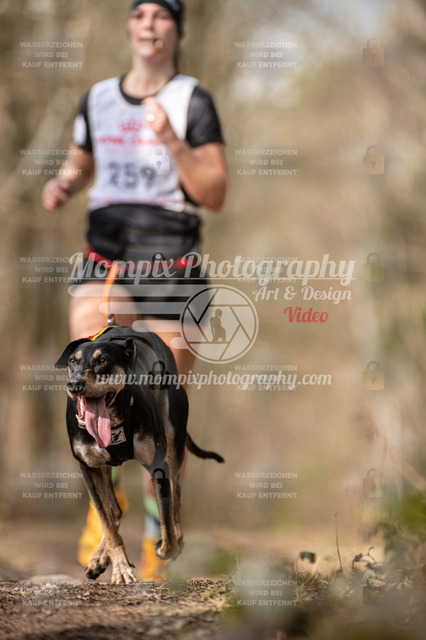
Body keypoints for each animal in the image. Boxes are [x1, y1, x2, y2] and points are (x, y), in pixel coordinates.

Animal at [55, 325, 224, 584]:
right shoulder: (88, 467)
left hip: (174, 443)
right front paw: (120, 567)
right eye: (73, 361)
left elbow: (165, 519)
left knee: (176, 497)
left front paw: (165, 547)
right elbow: (106, 521)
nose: (74, 384)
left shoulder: (158, 465)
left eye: (103, 361)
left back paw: (176, 537)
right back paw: (100, 558)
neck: (115, 419)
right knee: (115, 510)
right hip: (105, 467)